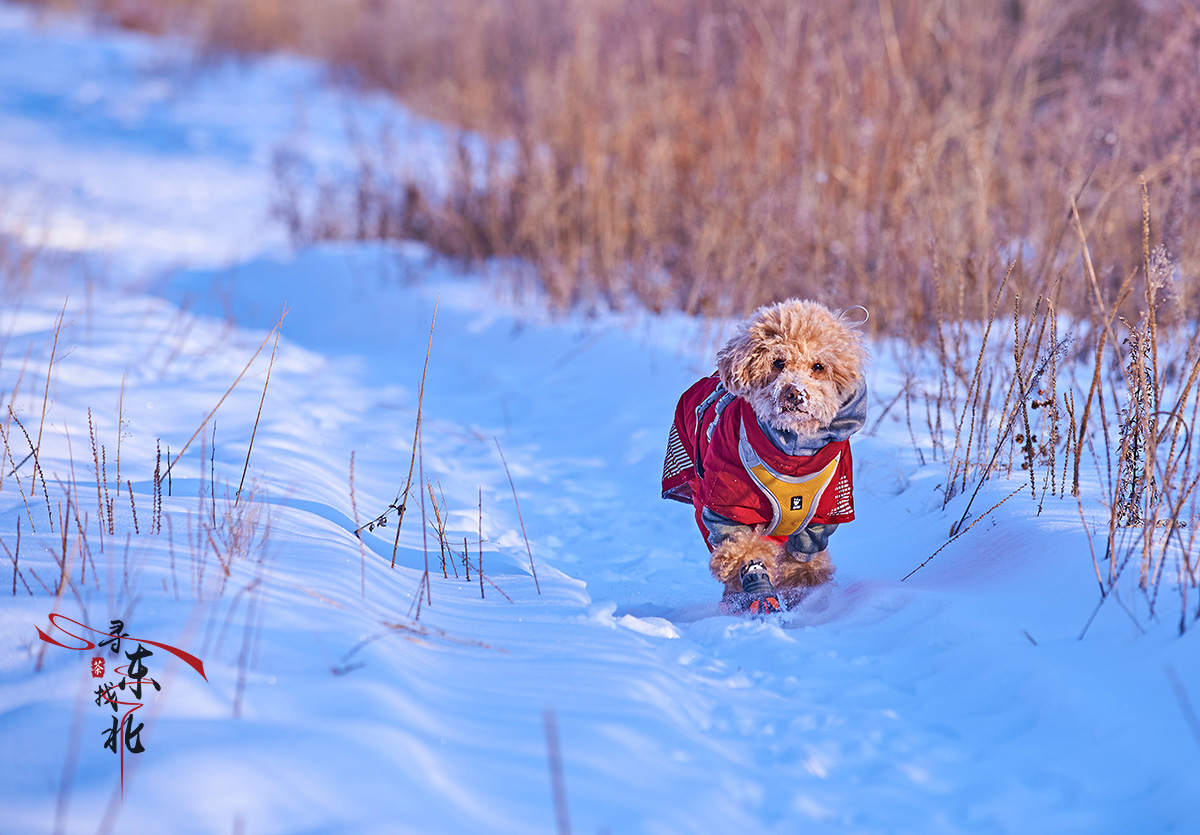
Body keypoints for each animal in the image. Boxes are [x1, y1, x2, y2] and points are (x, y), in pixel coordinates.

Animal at [662, 299, 868, 614]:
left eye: (818, 366)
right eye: (778, 362)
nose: (794, 393)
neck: (792, 452)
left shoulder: (824, 513)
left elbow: (803, 558)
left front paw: (803, 595)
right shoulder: (729, 502)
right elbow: (741, 547)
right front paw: (758, 592)